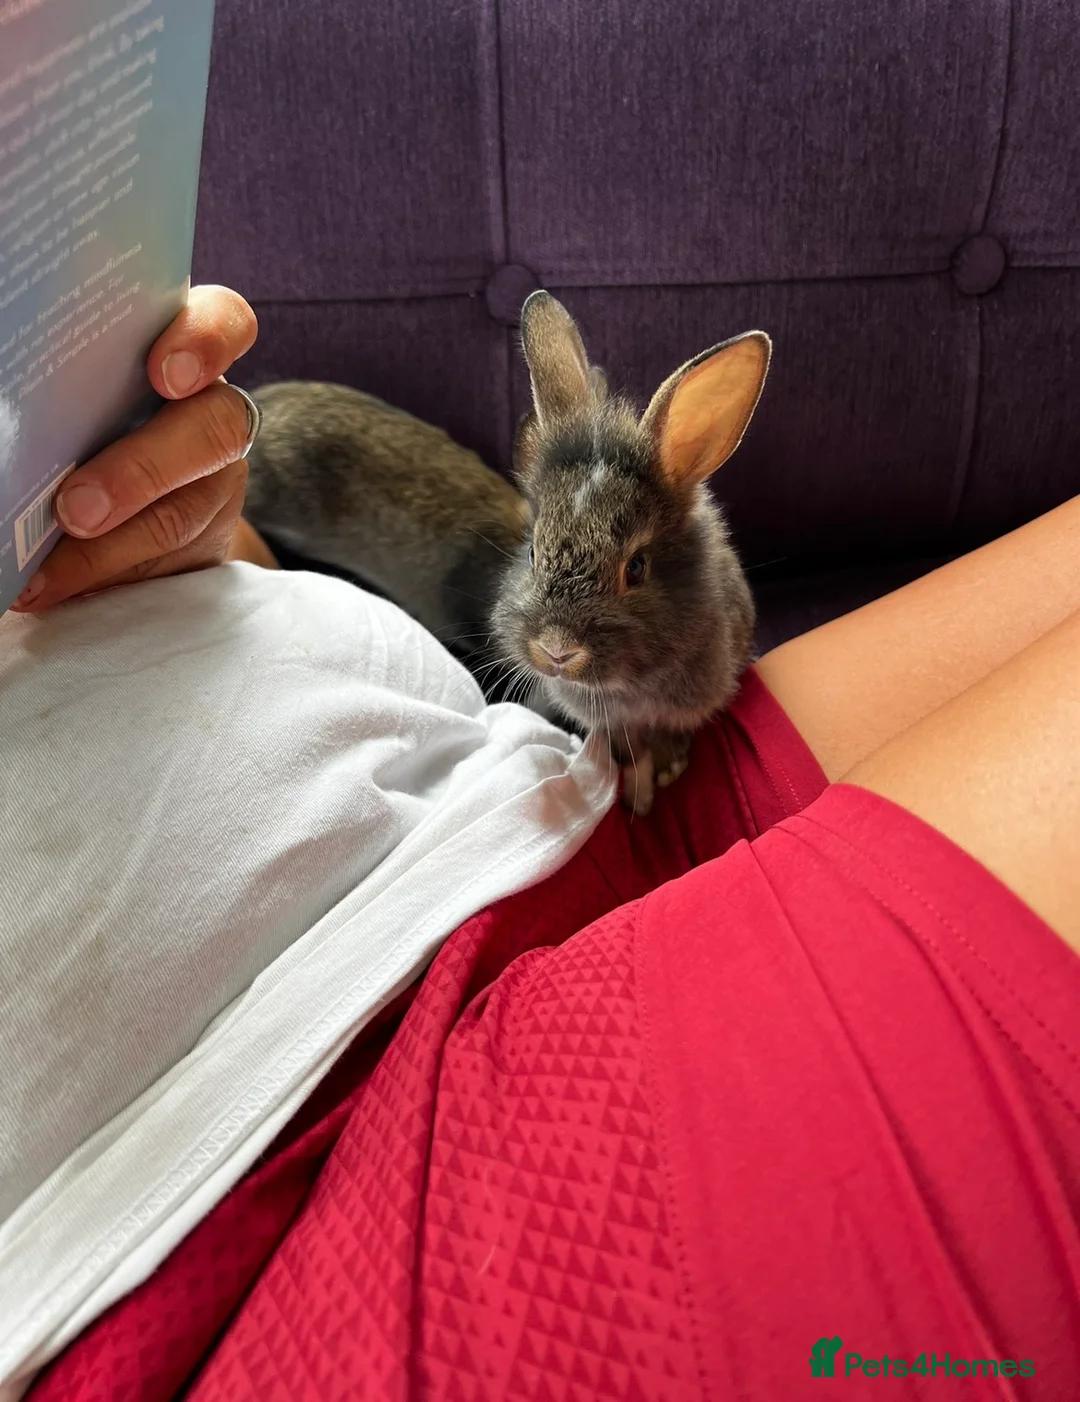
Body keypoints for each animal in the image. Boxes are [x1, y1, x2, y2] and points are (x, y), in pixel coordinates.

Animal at [491, 290, 770, 815]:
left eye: (636, 567)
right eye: (533, 553)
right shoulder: (613, 721)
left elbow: (662, 740)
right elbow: (631, 750)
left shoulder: (679, 707)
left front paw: (664, 776)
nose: (557, 650)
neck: (623, 688)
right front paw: (637, 796)